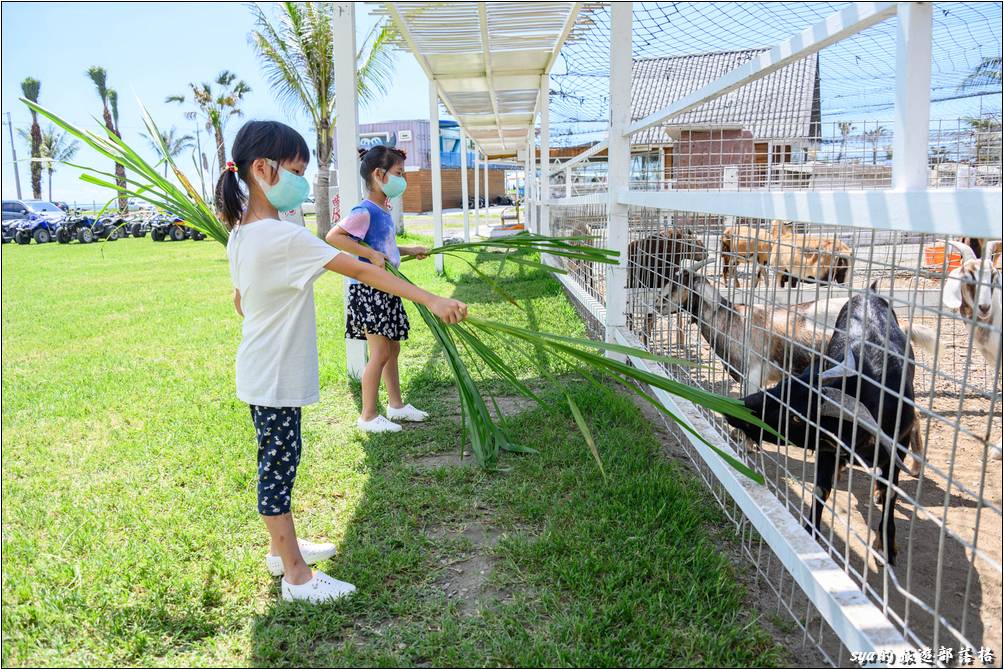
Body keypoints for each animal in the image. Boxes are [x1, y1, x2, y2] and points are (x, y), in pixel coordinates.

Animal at [722, 285, 919, 566]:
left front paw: (886, 547)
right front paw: (809, 535)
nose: (736, 409)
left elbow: (891, 494)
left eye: (797, 417)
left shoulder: (898, 447)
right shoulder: (828, 452)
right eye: (783, 386)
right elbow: (820, 490)